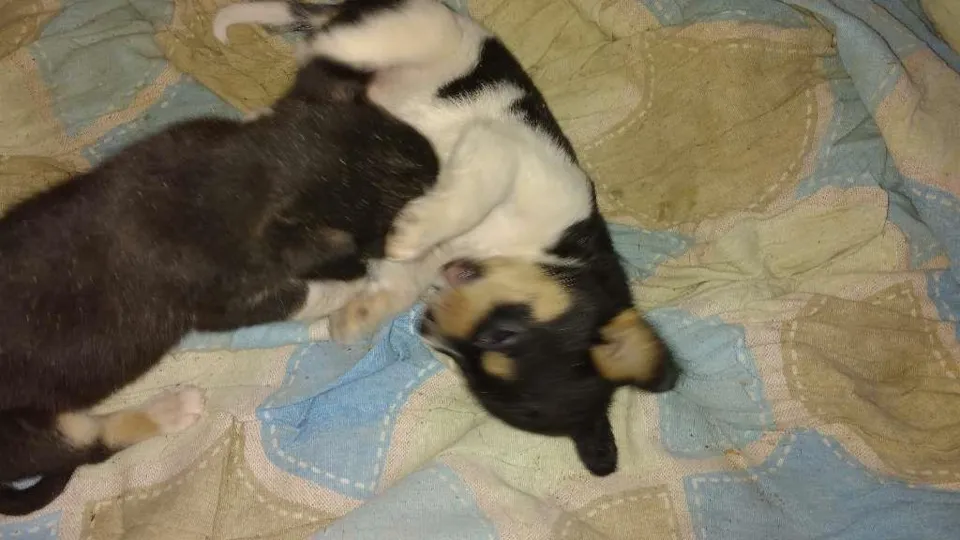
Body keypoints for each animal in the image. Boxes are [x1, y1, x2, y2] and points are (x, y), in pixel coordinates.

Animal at [0, 57, 438, 516]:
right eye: (393, 231)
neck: (247, 172)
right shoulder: (225, 304)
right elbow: (301, 293)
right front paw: (356, 289)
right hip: (25, 434)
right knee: (89, 446)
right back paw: (171, 410)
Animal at [214, 0, 682, 476]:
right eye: (503, 335)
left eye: (466, 367)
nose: (426, 325)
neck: (524, 251)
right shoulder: (503, 150)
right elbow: (469, 195)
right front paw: (412, 232)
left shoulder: (428, 264)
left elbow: (398, 286)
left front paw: (357, 315)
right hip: (420, 30)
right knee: (335, 45)